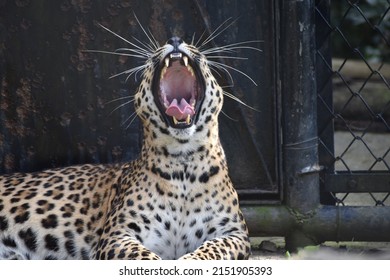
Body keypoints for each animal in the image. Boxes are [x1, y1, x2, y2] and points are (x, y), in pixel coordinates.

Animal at [0, 27, 251, 260]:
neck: (184, 164)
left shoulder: (234, 233)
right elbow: (144, 257)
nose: (175, 39)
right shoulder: (117, 234)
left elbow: (210, 250)